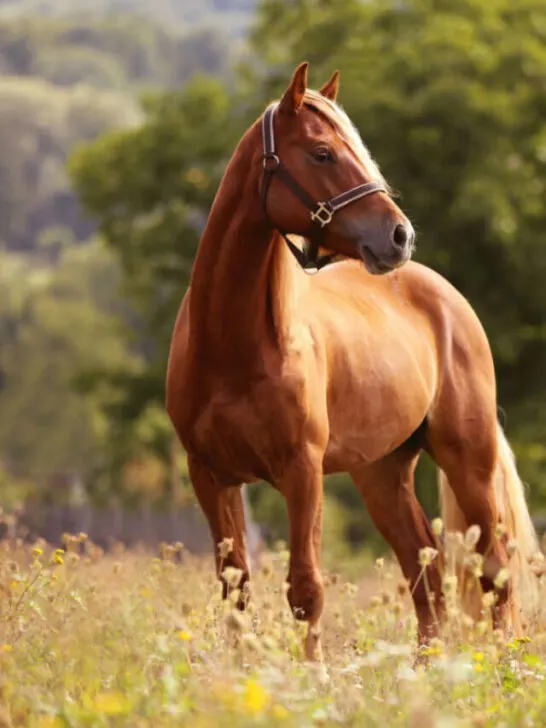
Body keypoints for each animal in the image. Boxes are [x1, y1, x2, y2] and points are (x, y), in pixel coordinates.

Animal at [166, 62, 541, 661]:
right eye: (322, 153)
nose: (399, 235)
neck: (233, 347)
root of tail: (445, 295)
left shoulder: (301, 471)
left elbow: (305, 589)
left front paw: (312, 675)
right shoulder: (210, 475)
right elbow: (236, 592)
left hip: (468, 460)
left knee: (494, 572)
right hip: (382, 473)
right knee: (426, 575)